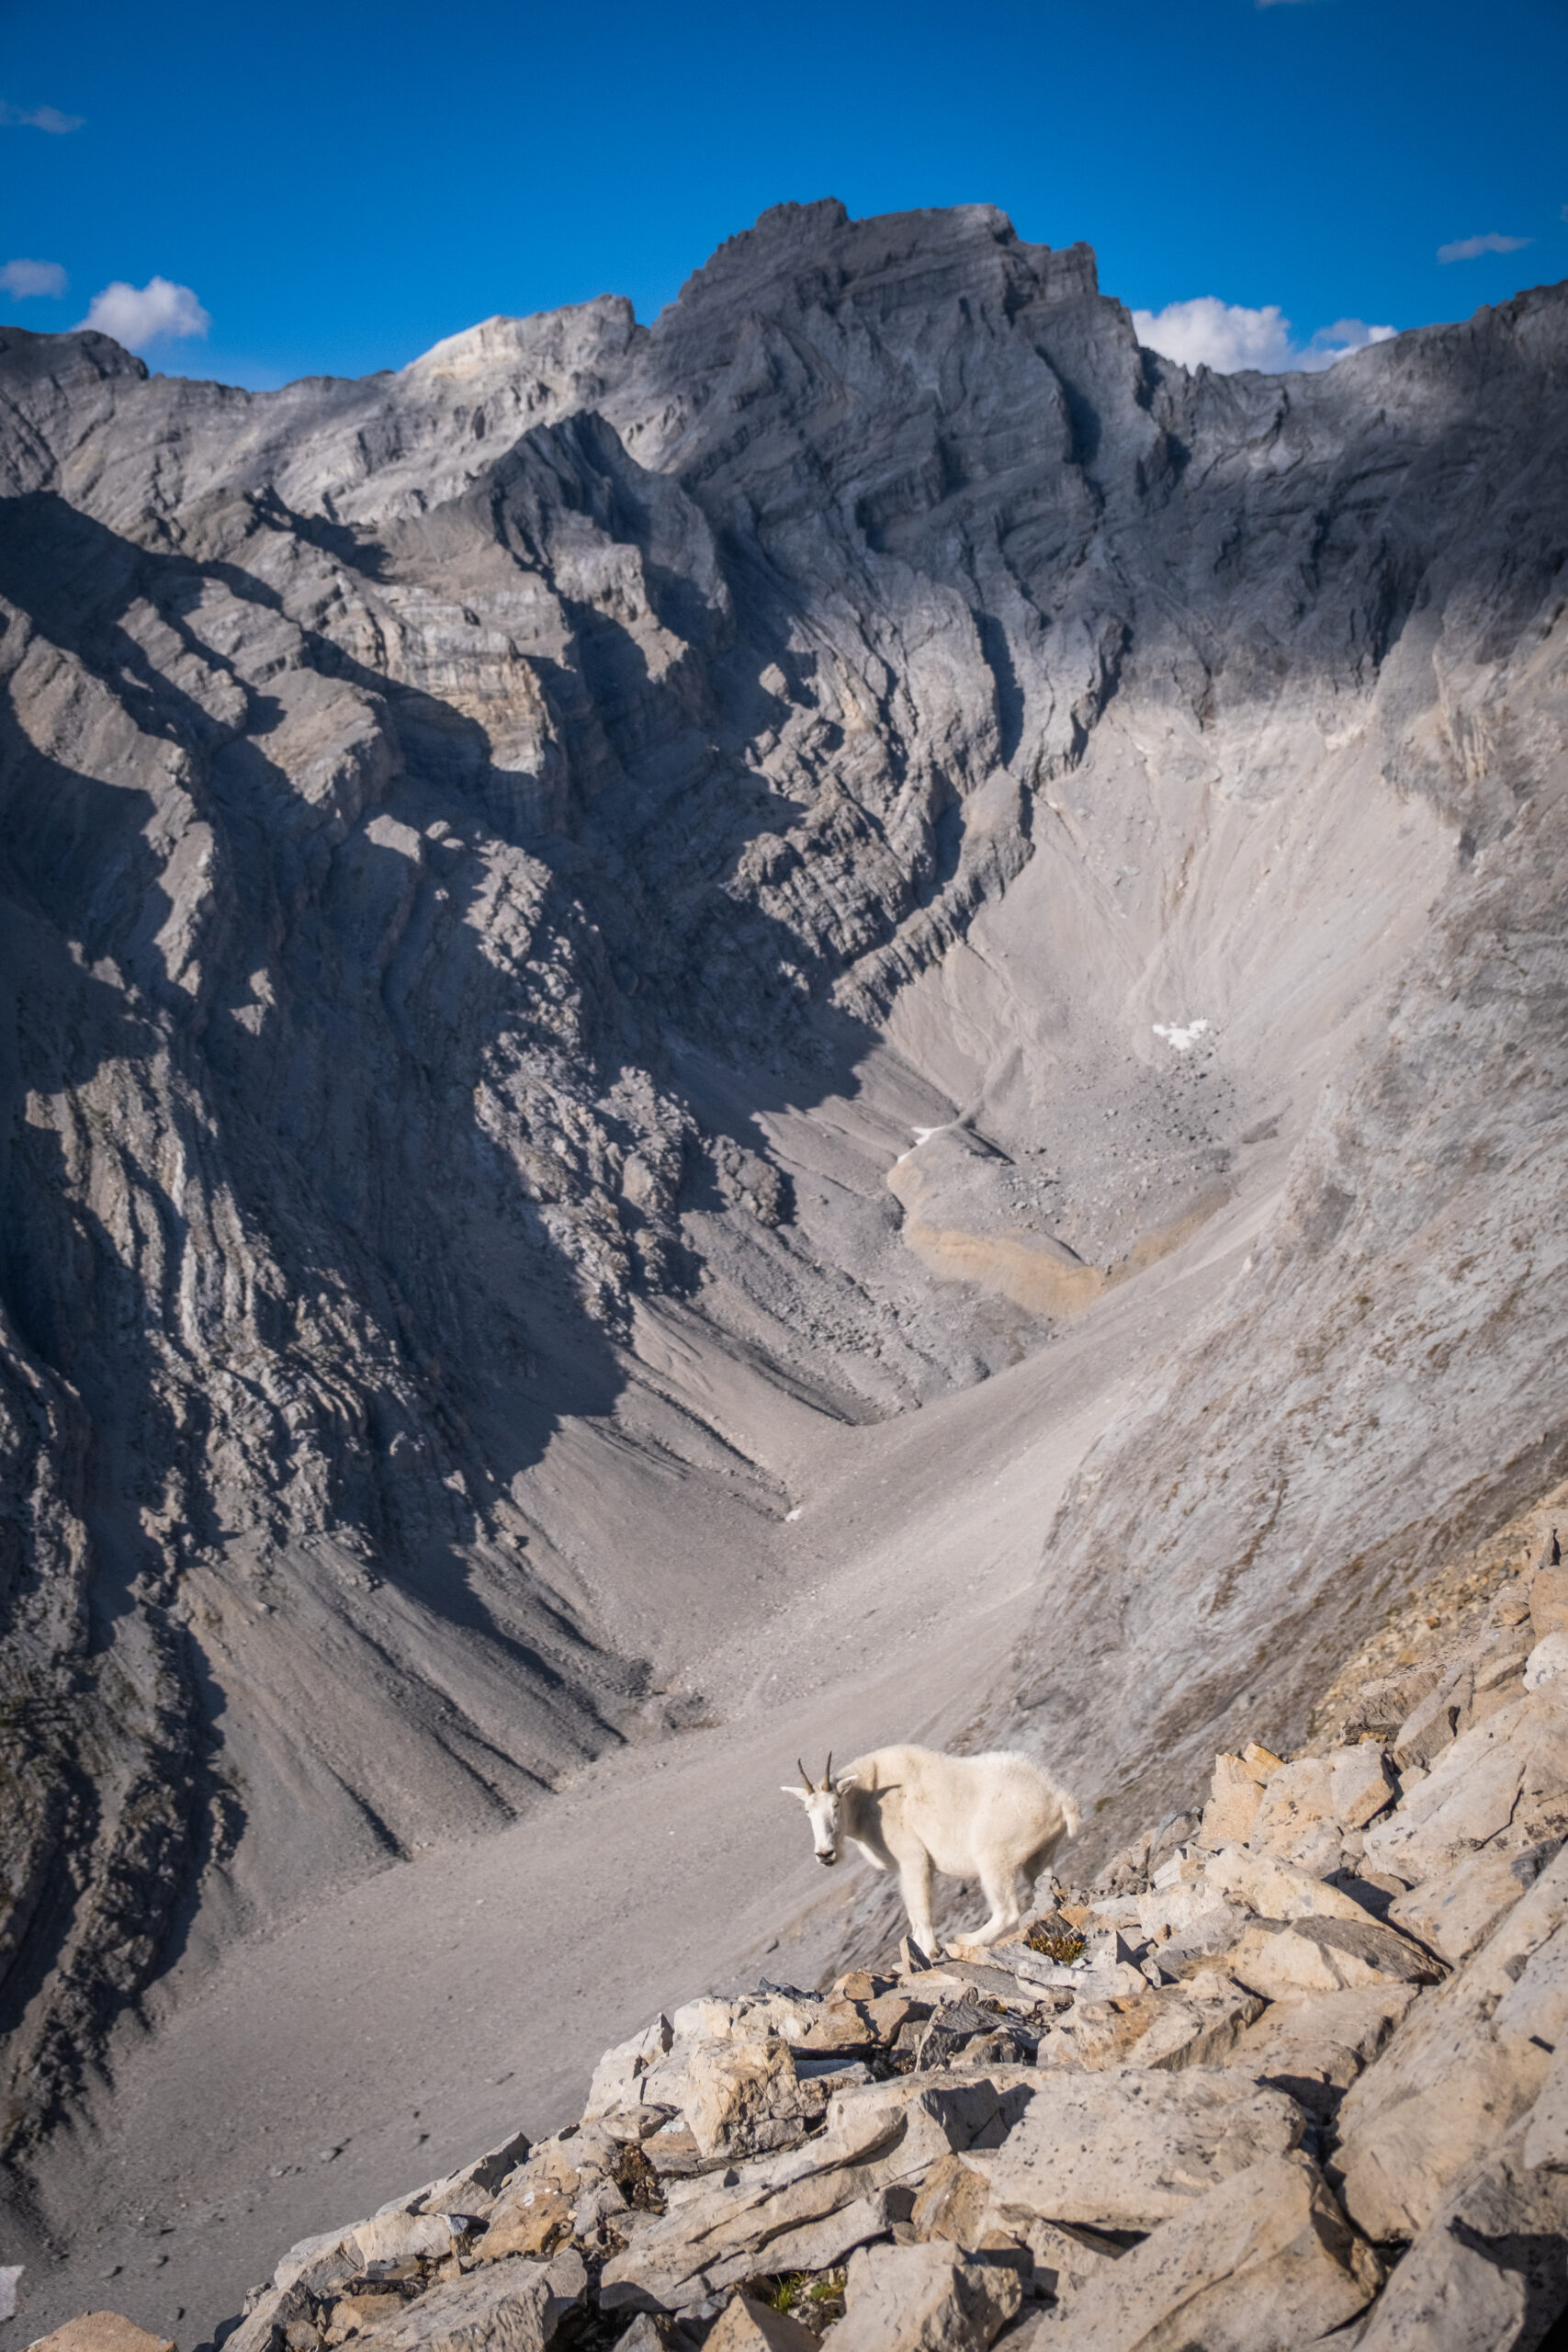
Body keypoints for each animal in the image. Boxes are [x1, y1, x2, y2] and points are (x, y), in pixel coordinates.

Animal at [780, 1740, 1081, 1956]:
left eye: (835, 1804)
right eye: (807, 1811)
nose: (825, 1854)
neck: (867, 1799)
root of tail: (1060, 1797)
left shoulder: (912, 1860)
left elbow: (919, 1907)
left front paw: (927, 1950)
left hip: (996, 1855)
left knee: (1007, 1909)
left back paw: (966, 1939)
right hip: (1040, 1853)